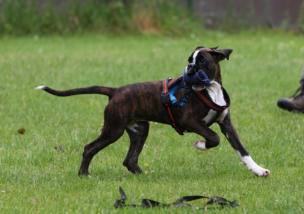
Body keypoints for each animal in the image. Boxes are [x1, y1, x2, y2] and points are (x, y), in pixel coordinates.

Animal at [36, 46, 270, 177]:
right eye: (189, 61)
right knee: (89, 148)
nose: (189, 69)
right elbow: (213, 138)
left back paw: (144, 176)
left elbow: (242, 151)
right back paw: (84, 174)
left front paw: (258, 170)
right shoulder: (189, 121)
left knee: (130, 160)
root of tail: (115, 91)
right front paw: (200, 144)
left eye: (201, 60)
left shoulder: (227, 125)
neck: (210, 89)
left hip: (139, 130)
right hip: (113, 129)